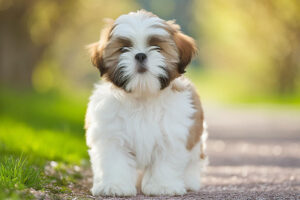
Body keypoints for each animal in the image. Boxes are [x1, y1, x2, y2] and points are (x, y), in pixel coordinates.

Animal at [84, 10, 206, 196]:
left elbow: (166, 162)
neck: (143, 96)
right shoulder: (111, 134)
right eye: (123, 49)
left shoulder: (172, 134)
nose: (140, 55)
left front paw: (162, 186)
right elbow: (114, 160)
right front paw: (114, 186)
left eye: (157, 47)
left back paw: (190, 181)